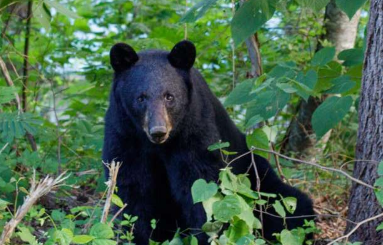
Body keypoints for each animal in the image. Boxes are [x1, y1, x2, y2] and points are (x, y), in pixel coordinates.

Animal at [103, 39, 316, 243]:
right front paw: (135, 236)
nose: (158, 131)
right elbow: (132, 190)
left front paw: (208, 235)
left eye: (169, 96)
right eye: (140, 98)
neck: (159, 146)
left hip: (258, 177)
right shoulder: (124, 136)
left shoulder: (194, 131)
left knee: (289, 205)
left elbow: (201, 184)